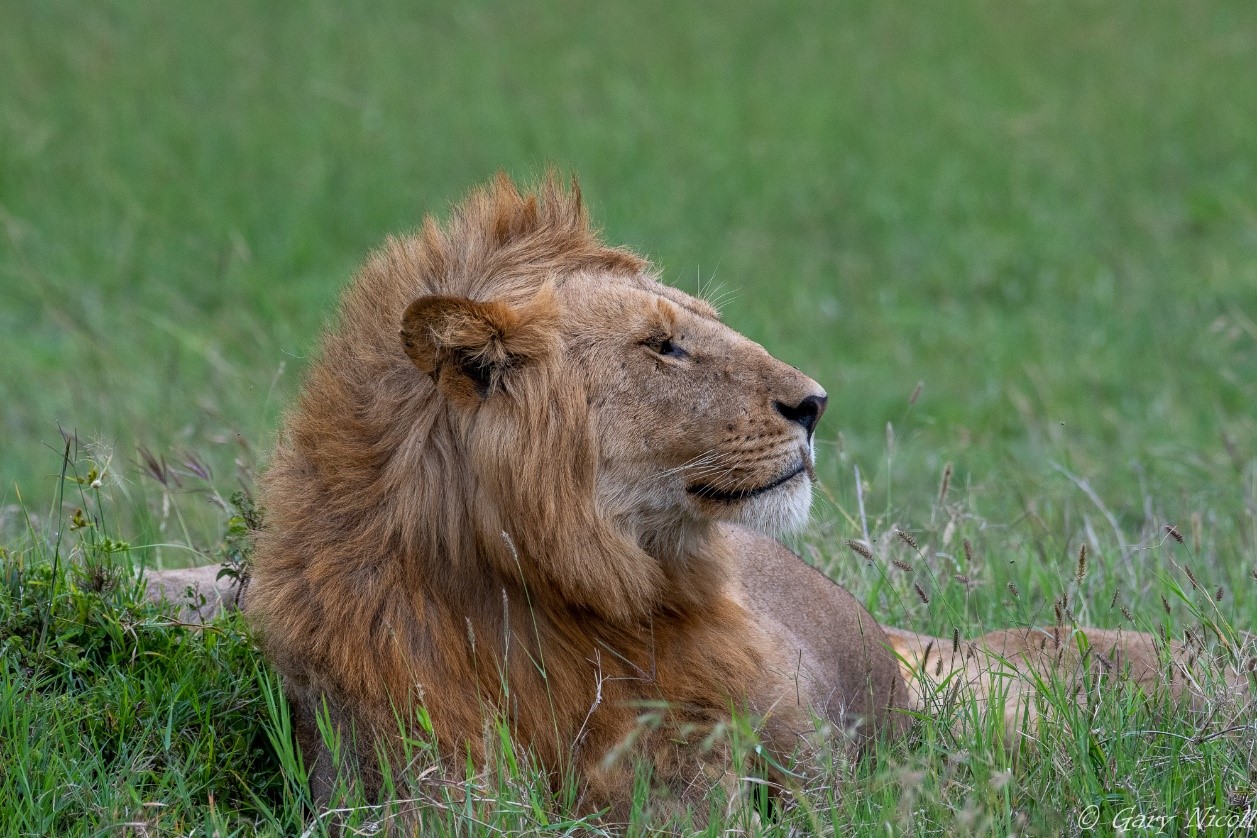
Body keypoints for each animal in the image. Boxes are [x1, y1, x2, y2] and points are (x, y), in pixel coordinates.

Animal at [144, 174, 1244, 818]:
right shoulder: (401, 786)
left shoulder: (697, 783)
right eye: (662, 345)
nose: (816, 402)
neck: (558, 593)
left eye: (701, 322)